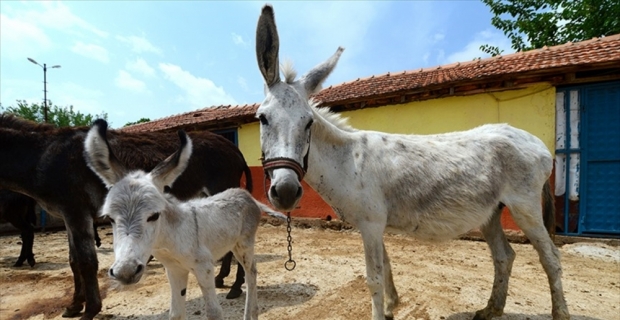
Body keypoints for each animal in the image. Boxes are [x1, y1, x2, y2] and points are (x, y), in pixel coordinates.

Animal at [84, 120, 284, 320]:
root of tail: (246, 195)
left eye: (154, 216)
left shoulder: (204, 268)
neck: (171, 238)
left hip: (244, 243)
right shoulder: (174, 270)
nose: (125, 272)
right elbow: (175, 313)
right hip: (233, 243)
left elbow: (214, 312)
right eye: (109, 218)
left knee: (252, 271)